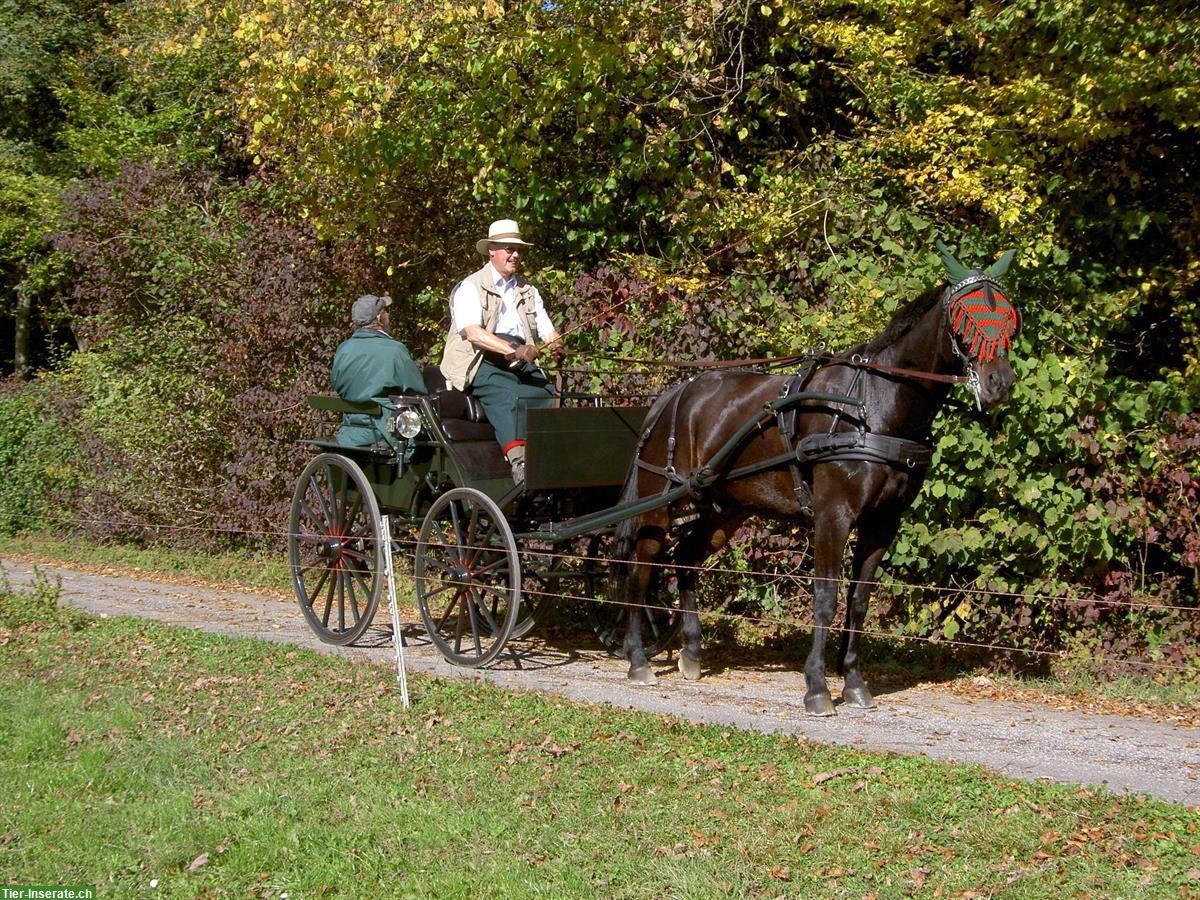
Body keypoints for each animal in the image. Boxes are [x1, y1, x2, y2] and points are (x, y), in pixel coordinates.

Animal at [614, 243, 1017, 715]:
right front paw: (818, 688)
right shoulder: (833, 515)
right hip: (659, 500)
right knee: (641, 565)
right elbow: (826, 598)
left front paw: (855, 683)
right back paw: (637, 659)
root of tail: (676, 393)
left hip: (725, 508)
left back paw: (692, 653)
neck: (871, 406)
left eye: (1009, 315)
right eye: (965, 316)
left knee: (686, 558)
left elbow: (859, 601)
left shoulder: (883, 522)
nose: (999, 382)